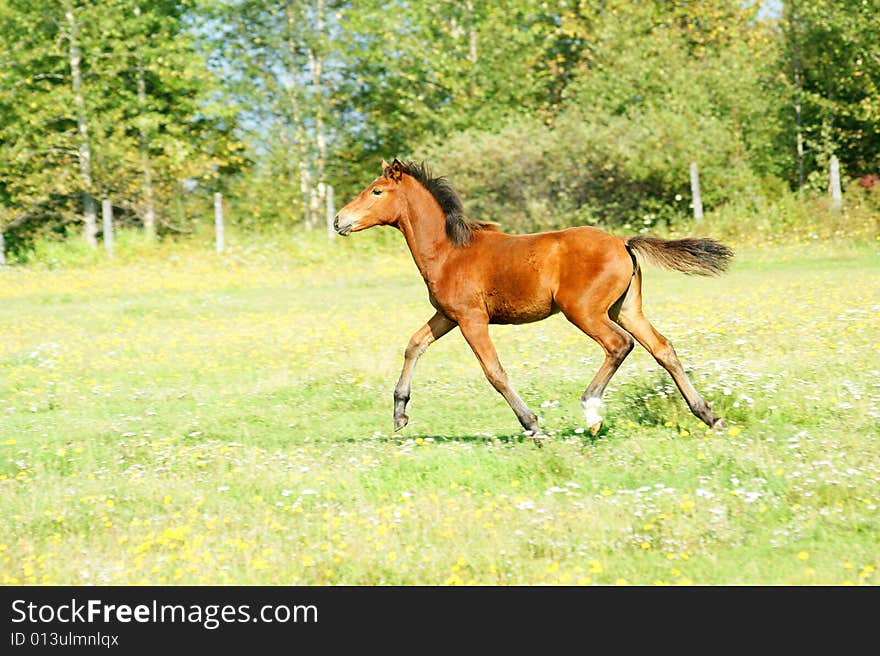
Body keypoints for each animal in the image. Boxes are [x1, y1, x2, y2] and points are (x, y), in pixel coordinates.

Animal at [334, 161, 732, 444]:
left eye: (376, 191)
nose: (339, 220)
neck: (449, 251)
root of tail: (623, 242)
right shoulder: (447, 315)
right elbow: (414, 344)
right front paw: (400, 413)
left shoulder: (471, 319)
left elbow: (494, 371)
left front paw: (533, 425)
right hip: (626, 309)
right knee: (663, 349)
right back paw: (709, 416)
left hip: (584, 311)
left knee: (620, 344)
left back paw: (592, 412)